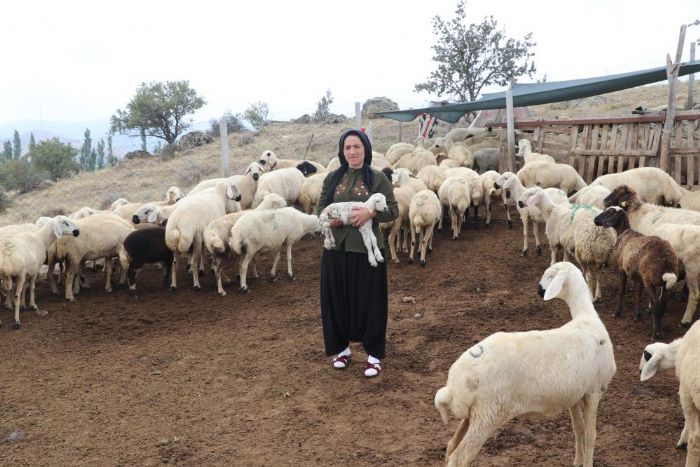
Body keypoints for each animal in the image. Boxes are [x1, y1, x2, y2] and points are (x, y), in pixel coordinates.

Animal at [434, 264, 616, 467]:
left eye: (550, 275)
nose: (538, 289)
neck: (586, 319)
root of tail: (454, 384)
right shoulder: (595, 391)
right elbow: (592, 435)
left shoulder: (576, 395)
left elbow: (579, 429)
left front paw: (578, 461)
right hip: (488, 414)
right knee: (459, 457)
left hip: (474, 414)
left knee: (451, 446)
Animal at [592, 207, 680, 338]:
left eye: (609, 212)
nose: (595, 220)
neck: (623, 232)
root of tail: (666, 263)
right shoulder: (638, 276)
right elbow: (638, 294)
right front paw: (637, 315)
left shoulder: (622, 268)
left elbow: (621, 291)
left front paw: (617, 312)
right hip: (665, 284)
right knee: (663, 304)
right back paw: (659, 330)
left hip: (649, 280)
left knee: (656, 305)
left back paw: (655, 334)